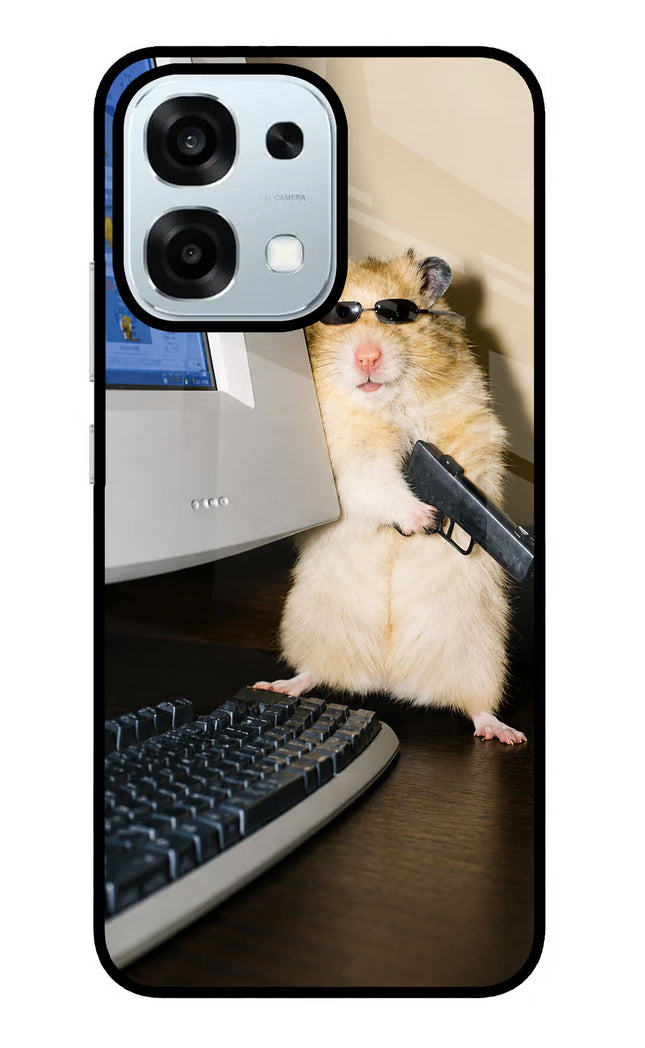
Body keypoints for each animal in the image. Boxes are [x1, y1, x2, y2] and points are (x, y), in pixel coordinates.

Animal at [255, 251, 526, 744]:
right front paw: (423, 518)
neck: (386, 404)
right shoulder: (347, 459)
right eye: (339, 316)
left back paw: (504, 733)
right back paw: (279, 685)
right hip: (311, 627)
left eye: (396, 314)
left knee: (477, 706)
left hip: (480, 654)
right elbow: (378, 483)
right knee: (313, 672)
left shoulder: (472, 427)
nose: (368, 356)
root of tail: (389, 678)